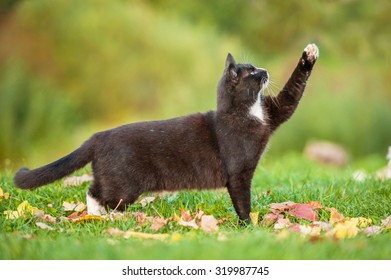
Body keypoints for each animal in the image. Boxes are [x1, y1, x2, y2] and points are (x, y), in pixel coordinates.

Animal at [14, 43, 318, 223]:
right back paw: (105, 218)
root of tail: (98, 136)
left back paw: (100, 217)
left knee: (94, 189)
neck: (248, 111)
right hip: (125, 183)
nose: (265, 70)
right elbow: (242, 199)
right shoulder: (238, 172)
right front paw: (247, 225)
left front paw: (309, 54)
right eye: (253, 72)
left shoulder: (274, 111)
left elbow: (291, 96)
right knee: (99, 194)